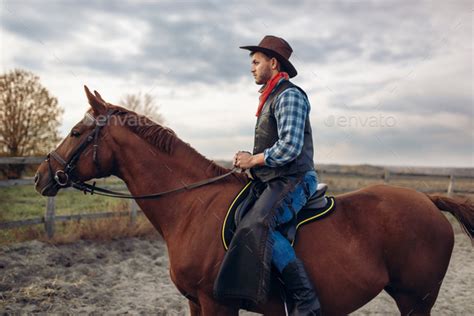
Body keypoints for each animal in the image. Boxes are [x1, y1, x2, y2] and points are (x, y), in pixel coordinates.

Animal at [35, 85, 472, 314]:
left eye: (76, 132)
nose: (41, 176)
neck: (193, 207)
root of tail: (428, 200)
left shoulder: (217, 303)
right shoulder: (196, 302)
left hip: (416, 298)